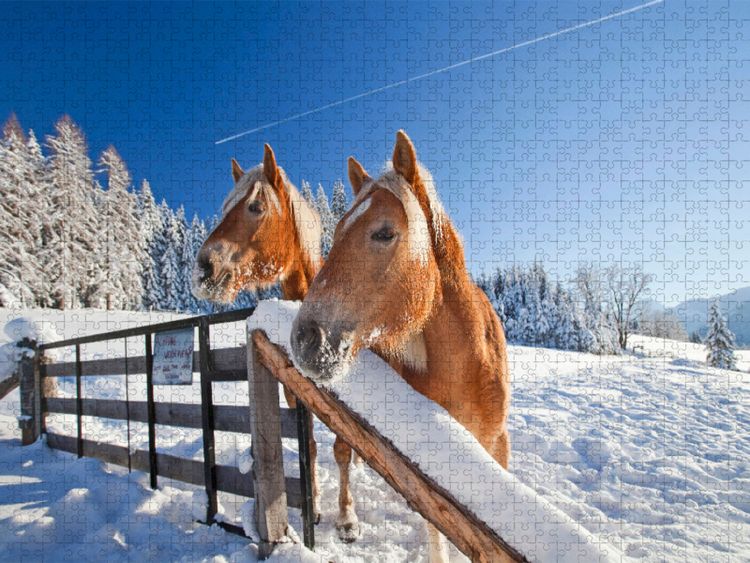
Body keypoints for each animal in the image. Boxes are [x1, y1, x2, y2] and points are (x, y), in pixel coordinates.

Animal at [192, 144, 362, 541]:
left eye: (255, 206)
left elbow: (342, 449)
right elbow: (309, 448)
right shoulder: (294, 393)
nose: (204, 269)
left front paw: (347, 518)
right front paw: (315, 503)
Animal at [290, 131, 511, 562]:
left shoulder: (497, 447)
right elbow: (437, 535)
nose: (305, 338)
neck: (466, 369)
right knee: (338, 453)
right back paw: (345, 519)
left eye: (384, 232)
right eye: (336, 234)